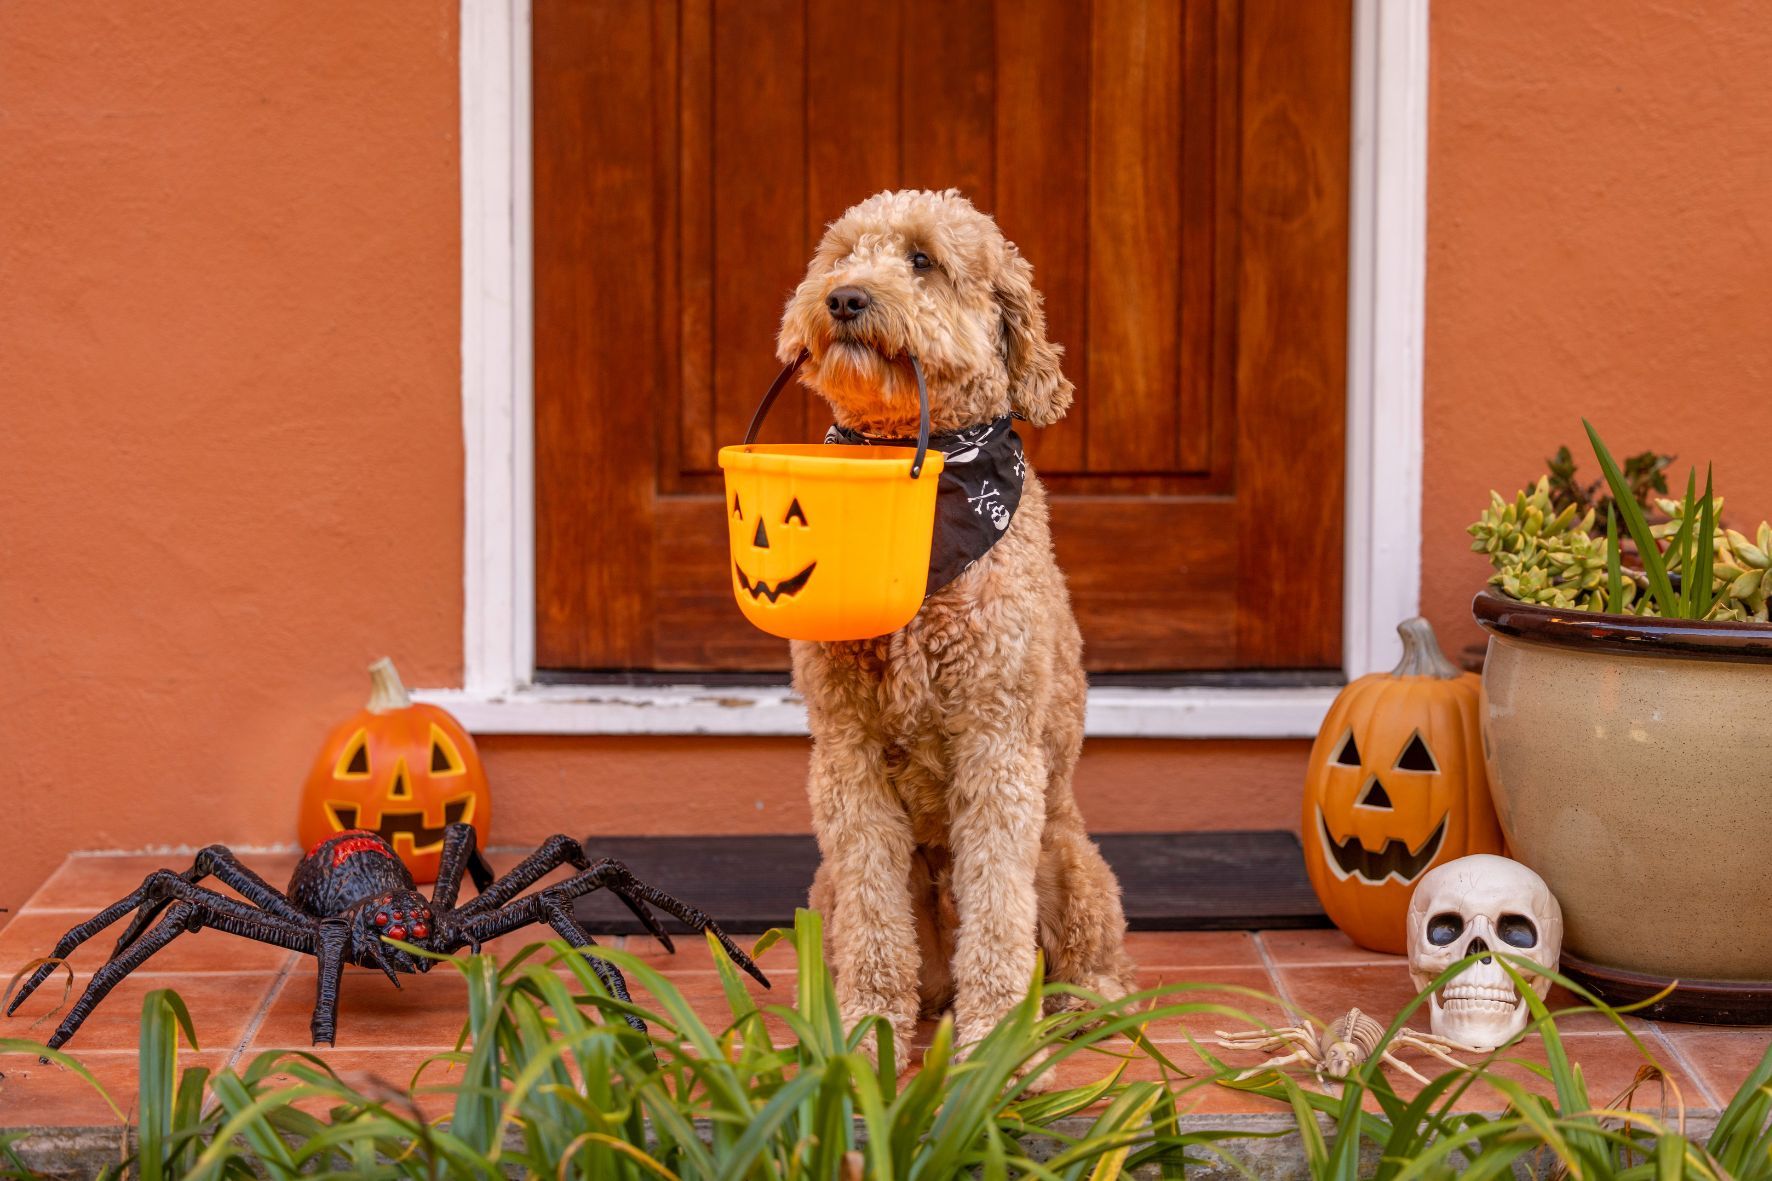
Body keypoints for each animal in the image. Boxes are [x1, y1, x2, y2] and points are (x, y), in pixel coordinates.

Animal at [776, 186, 1134, 1063]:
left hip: (1069, 855)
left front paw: (992, 1051)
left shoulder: (997, 747)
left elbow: (998, 917)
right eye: (842, 255)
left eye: (922, 260)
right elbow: (875, 919)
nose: (844, 298)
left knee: (1086, 955)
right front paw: (866, 1033)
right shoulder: (847, 754)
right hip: (823, 889)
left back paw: (1081, 1005)